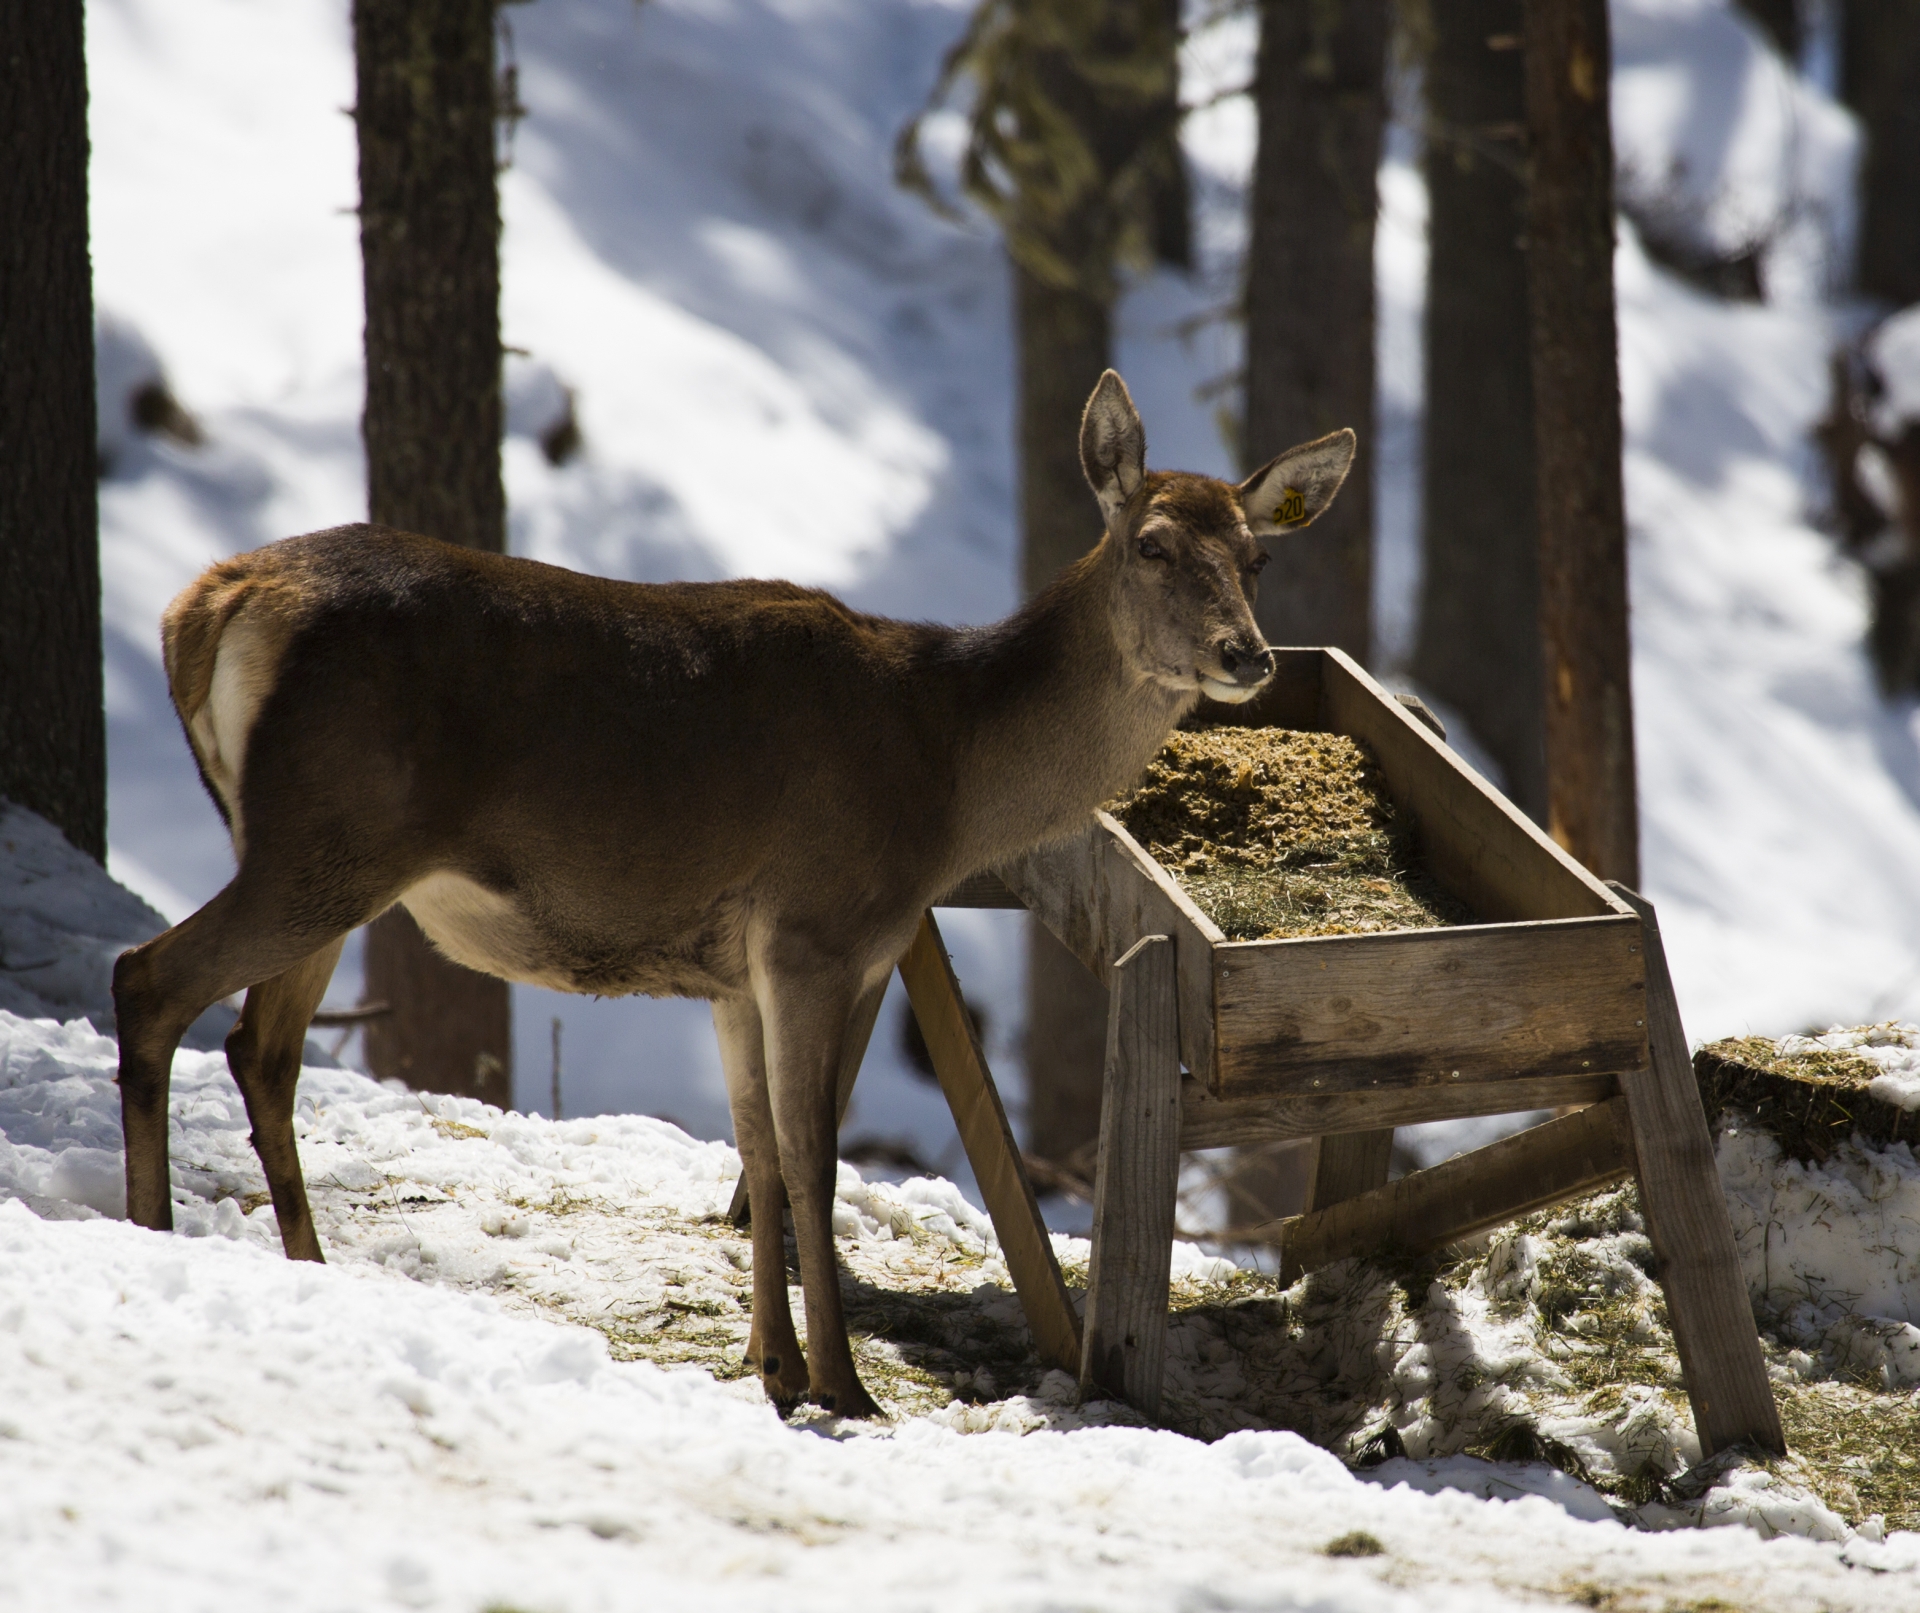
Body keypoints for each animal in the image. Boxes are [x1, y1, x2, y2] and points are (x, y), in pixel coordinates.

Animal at [116, 372, 1351, 1420]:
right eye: (1150, 544)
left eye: (1258, 558)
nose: (1247, 656)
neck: (946, 773)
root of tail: (203, 606)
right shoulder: (815, 928)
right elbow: (812, 1156)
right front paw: (845, 1384)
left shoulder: (730, 967)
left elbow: (754, 1147)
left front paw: (773, 1363)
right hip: (324, 839)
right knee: (150, 979)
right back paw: (148, 1230)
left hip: (328, 864)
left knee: (260, 1046)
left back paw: (309, 1266)